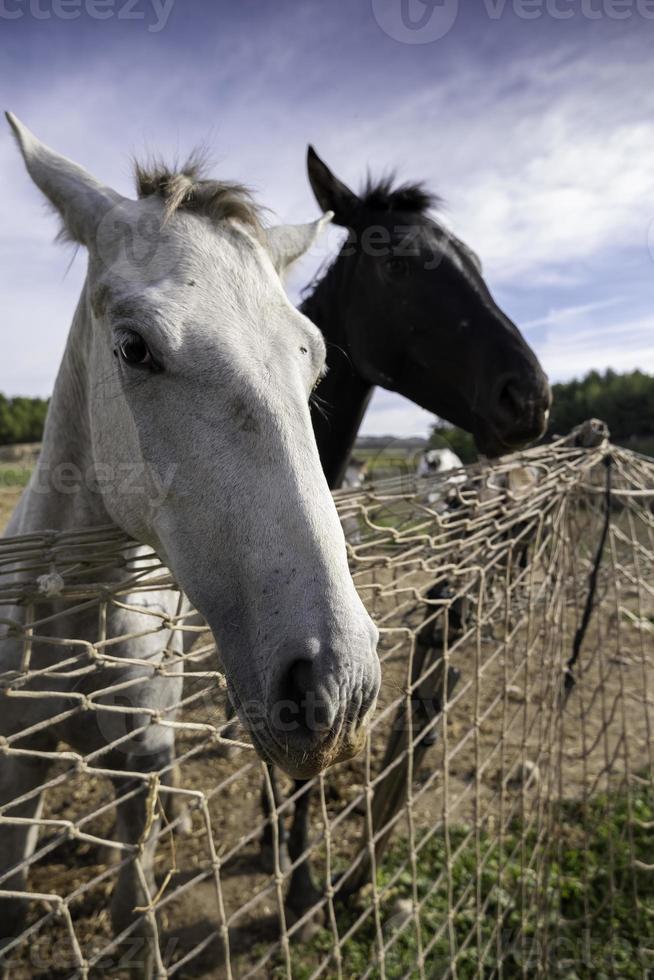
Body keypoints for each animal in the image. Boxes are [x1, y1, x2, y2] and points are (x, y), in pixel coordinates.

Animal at [0, 117, 382, 980]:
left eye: (314, 359)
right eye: (134, 348)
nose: (336, 686)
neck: (72, 617)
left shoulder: (137, 761)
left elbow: (131, 900)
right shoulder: (18, 765)